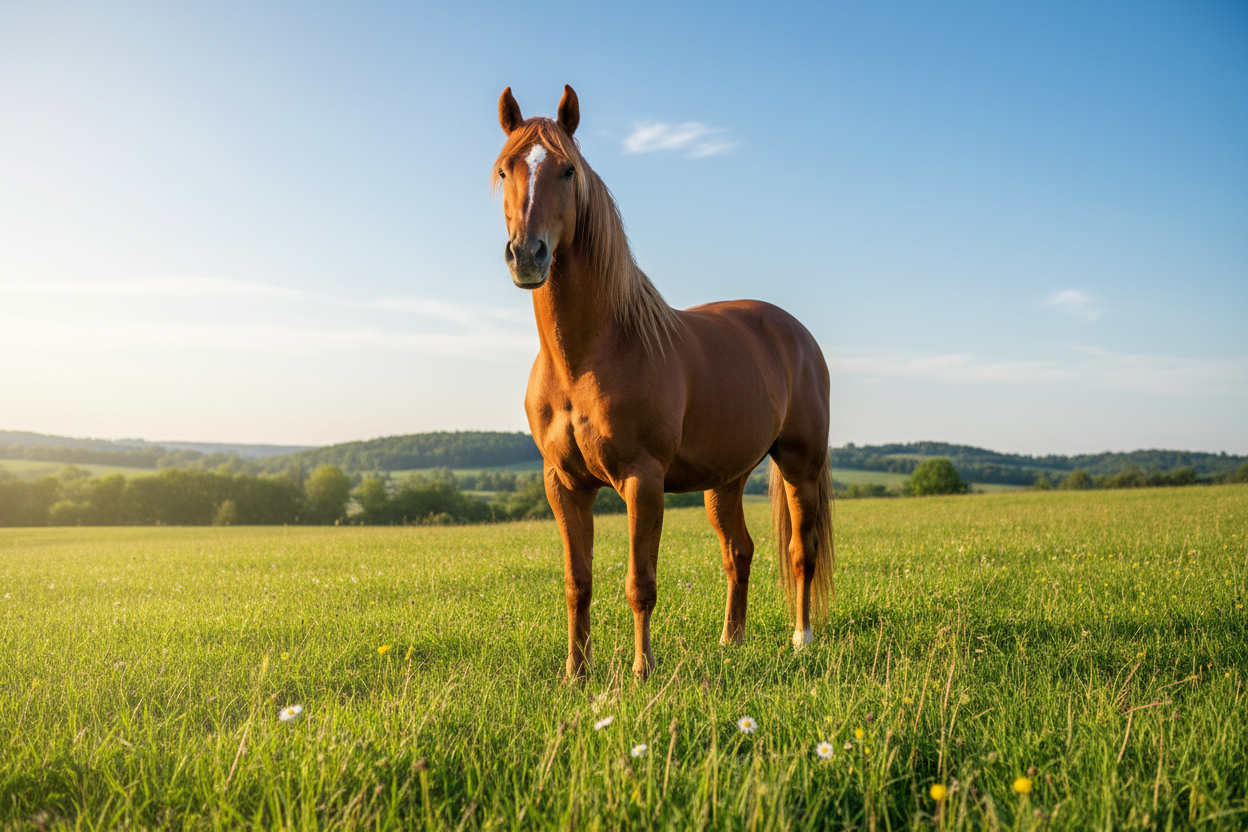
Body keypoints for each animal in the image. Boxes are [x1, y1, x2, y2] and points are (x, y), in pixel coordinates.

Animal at [493, 85, 833, 681]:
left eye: (567, 170)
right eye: (505, 168)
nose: (527, 255)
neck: (587, 356)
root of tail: (794, 332)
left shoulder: (642, 480)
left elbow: (640, 585)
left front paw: (641, 672)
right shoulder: (564, 484)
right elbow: (577, 584)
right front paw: (575, 675)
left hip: (800, 466)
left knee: (801, 552)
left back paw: (801, 639)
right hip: (726, 479)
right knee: (738, 551)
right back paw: (731, 642)